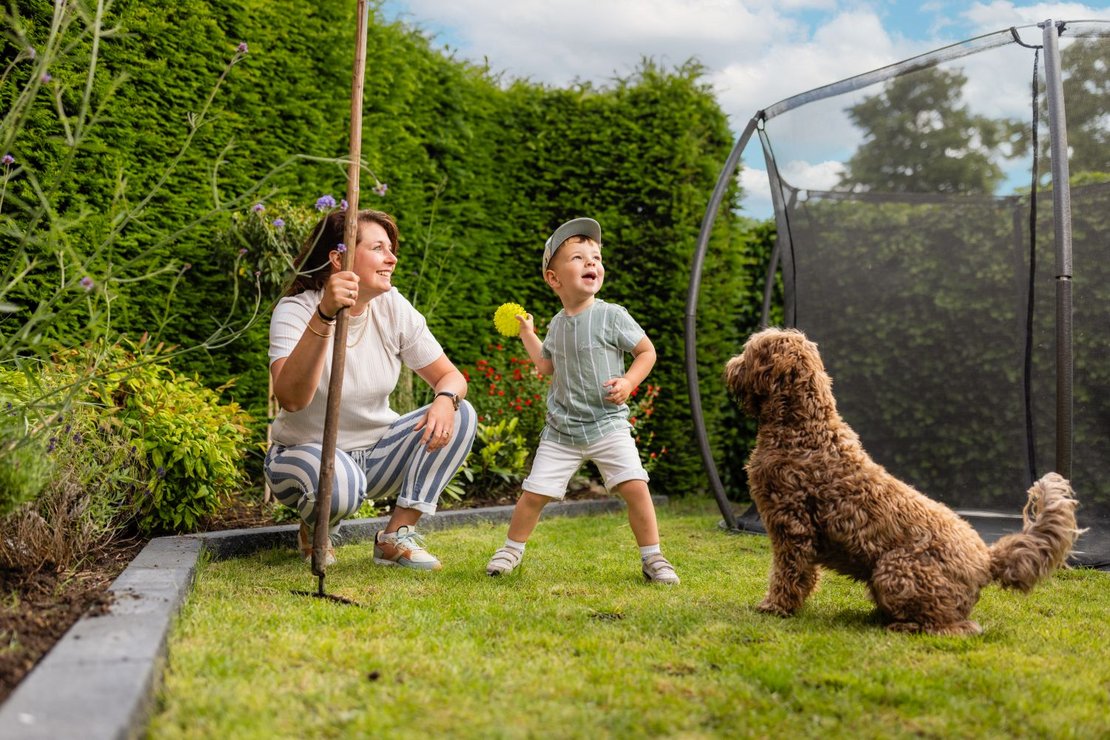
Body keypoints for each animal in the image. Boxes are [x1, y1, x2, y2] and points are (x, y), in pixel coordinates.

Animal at [723, 330, 1078, 639]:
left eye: (750, 352)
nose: (729, 366)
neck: (803, 429)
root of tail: (987, 560)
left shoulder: (792, 527)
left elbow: (790, 574)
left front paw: (775, 607)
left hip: (893, 569)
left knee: (956, 628)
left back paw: (902, 625)